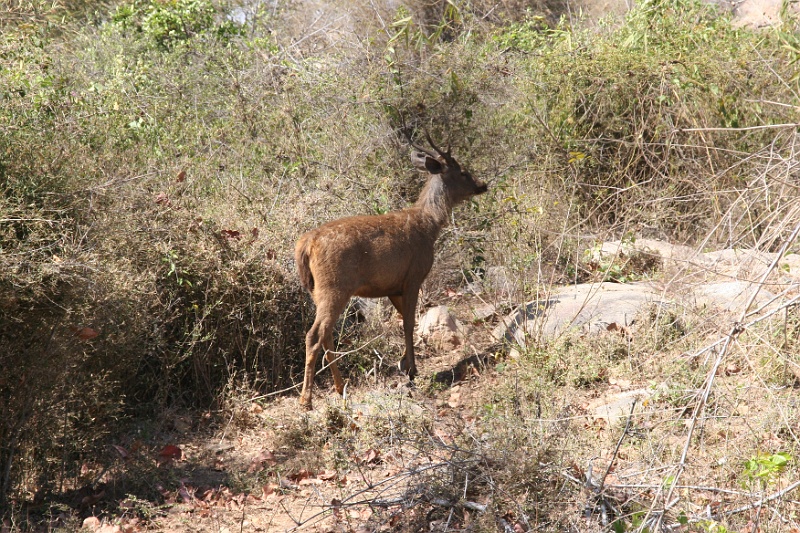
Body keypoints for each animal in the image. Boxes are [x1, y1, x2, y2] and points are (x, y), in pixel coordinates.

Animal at [294, 134, 488, 410]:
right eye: (463, 172)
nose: (482, 185)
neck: (429, 226)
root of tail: (306, 244)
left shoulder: (392, 288)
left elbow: (405, 320)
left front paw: (405, 364)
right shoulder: (414, 277)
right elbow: (409, 323)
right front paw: (412, 370)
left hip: (316, 290)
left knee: (326, 334)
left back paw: (340, 387)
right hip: (334, 286)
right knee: (315, 334)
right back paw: (306, 400)